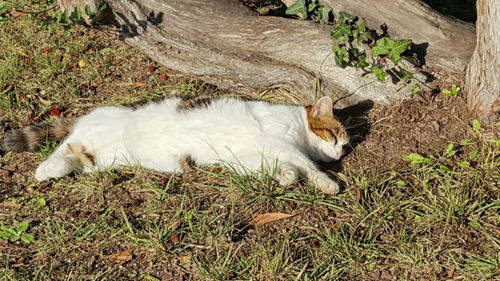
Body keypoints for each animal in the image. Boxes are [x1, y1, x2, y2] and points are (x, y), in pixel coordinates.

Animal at [1, 95, 350, 194]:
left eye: (344, 146)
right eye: (334, 136)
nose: (339, 153)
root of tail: (84, 118)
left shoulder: (248, 157)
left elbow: (276, 166)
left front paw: (285, 176)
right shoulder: (277, 139)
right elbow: (304, 162)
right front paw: (326, 182)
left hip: (105, 159)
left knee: (75, 156)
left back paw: (54, 170)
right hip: (94, 134)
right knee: (64, 145)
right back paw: (45, 169)